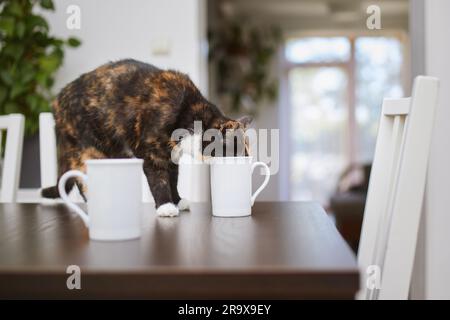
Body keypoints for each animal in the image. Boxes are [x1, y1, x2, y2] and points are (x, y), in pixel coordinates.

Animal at [40, 58, 251, 216]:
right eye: (239, 152)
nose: (248, 163)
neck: (191, 115)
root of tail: (57, 101)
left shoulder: (171, 156)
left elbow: (173, 179)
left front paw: (177, 200)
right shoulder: (151, 153)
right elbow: (159, 179)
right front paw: (165, 206)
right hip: (88, 150)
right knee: (83, 180)